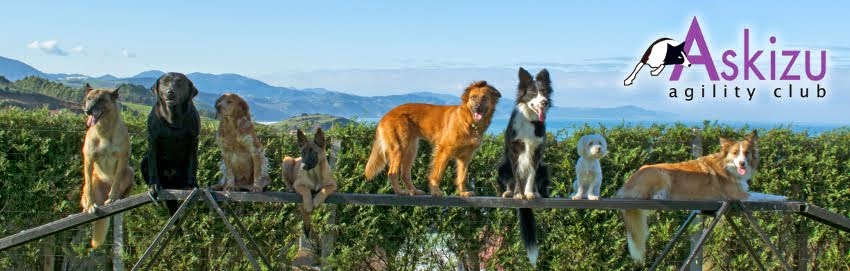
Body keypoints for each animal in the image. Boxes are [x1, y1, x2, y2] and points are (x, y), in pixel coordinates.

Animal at [80, 84, 133, 249]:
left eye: (101, 100)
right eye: (88, 99)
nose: (87, 111)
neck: (104, 132)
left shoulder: (122, 159)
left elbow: (115, 182)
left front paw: (113, 197)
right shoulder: (88, 159)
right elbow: (89, 187)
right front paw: (91, 205)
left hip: (130, 171)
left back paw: (119, 198)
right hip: (92, 182)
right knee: (87, 191)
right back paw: (88, 206)